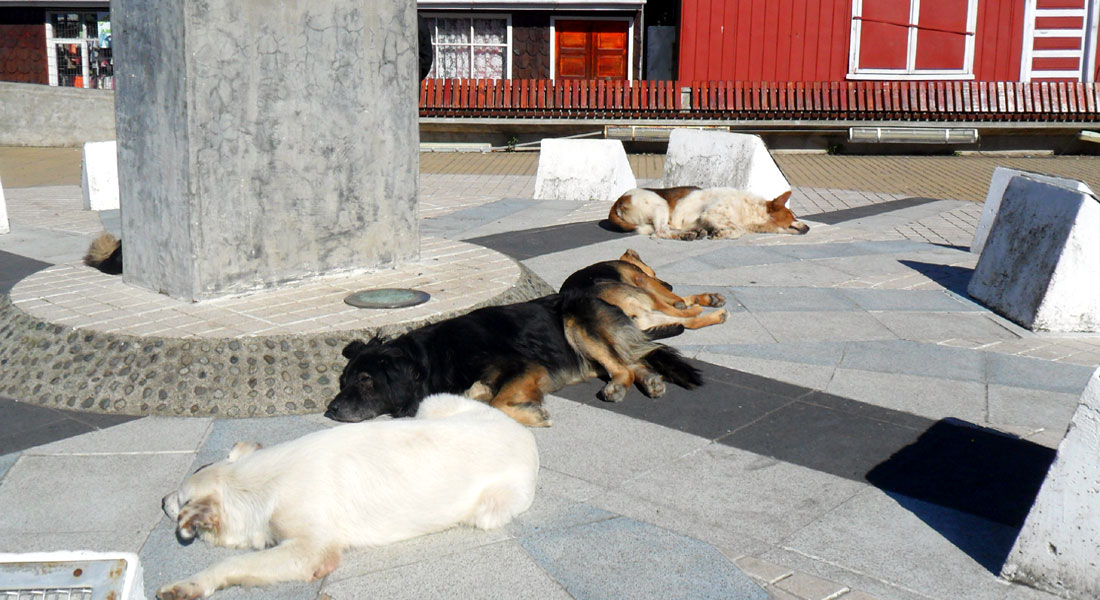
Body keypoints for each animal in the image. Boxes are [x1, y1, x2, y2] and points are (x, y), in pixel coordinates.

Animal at [156, 393, 538, 600]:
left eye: (179, 500)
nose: (161, 501)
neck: (262, 482)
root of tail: (523, 435)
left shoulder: (310, 551)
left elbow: (231, 564)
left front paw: (191, 584)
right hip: (433, 405)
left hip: (489, 510)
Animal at [325, 291, 702, 427]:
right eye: (342, 382)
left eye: (365, 381)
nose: (331, 409)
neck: (430, 359)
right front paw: (479, 393)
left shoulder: (523, 366)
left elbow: (498, 403)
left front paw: (533, 415)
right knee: (631, 361)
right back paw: (649, 381)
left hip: (574, 316)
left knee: (623, 366)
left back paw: (619, 387)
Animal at [560, 249, 727, 334]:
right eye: (654, 272)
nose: (670, 286)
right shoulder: (643, 278)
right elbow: (675, 298)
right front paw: (686, 301)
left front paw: (707, 298)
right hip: (641, 293)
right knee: (679, 313)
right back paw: (696, 309)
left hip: (647, 315)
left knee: (689, 322)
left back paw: (717, 315)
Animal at [608, 186, 809, 240]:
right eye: (792, 216)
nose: (808, 227)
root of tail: (619, 199)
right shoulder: (711, 214)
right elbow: (737, 230)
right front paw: (721, 234)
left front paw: (716, 232)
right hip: (660, 204)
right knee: (660, 233)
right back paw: (687, 235)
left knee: (665, 229)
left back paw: (693, 233)